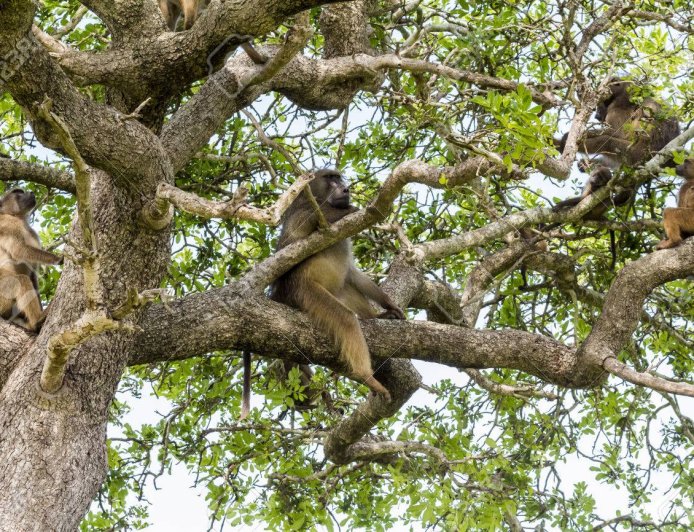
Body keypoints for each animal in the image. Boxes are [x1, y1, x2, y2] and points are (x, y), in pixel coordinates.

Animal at [0, 188, 62, 331]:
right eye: (18, 193)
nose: (31, 193)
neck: (19, 218)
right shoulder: (7, 223)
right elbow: (19, 250)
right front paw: (58, 258)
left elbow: (33, 273)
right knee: (21, 280)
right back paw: (37, 320)